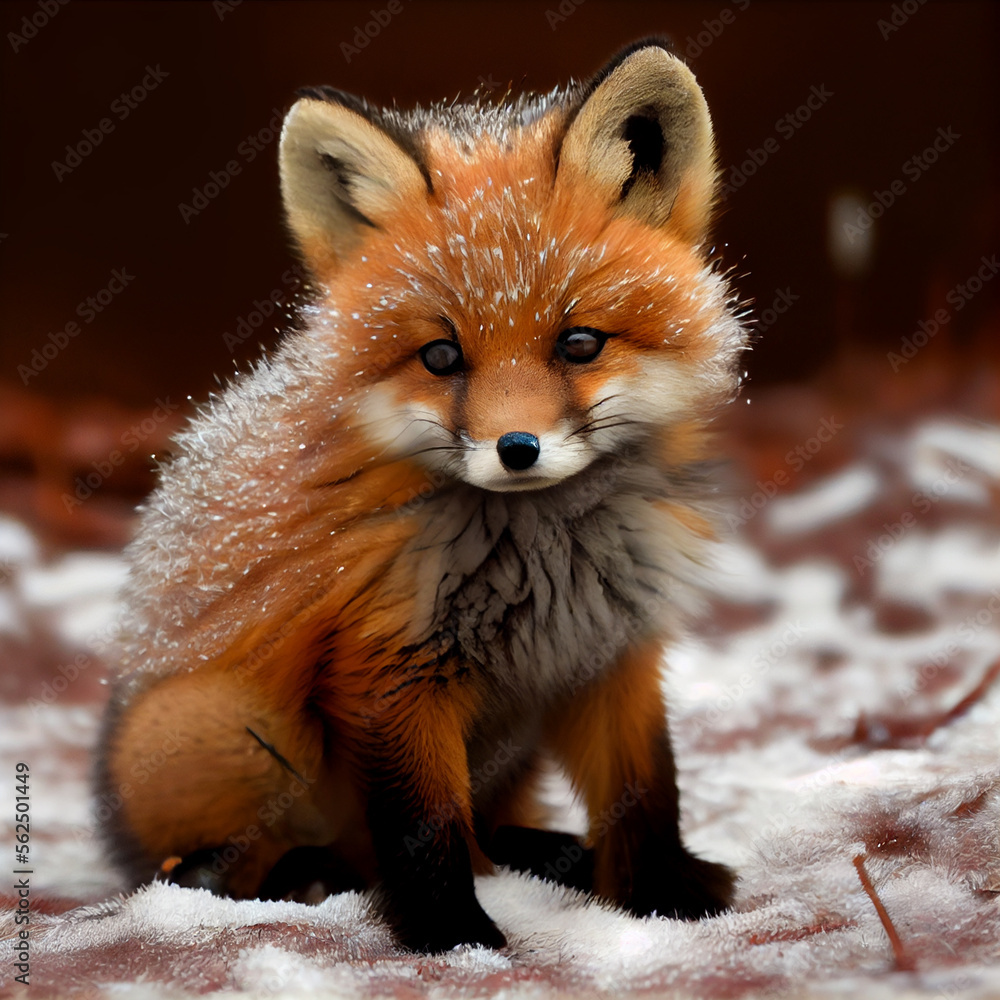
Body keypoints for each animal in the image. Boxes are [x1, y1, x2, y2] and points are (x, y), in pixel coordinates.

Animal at [95, 40, 747, 953]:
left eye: (579, 343)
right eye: (441, 357)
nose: (517, 449)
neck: (542, 564)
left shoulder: (608, 651)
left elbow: (647, 797)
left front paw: (664, 902)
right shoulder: (385, 667)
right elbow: (422, 829)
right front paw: (453, 941)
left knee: (489, 833)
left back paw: (545, 855)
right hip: (236, 728)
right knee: (224, 867)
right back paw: (297, 878)